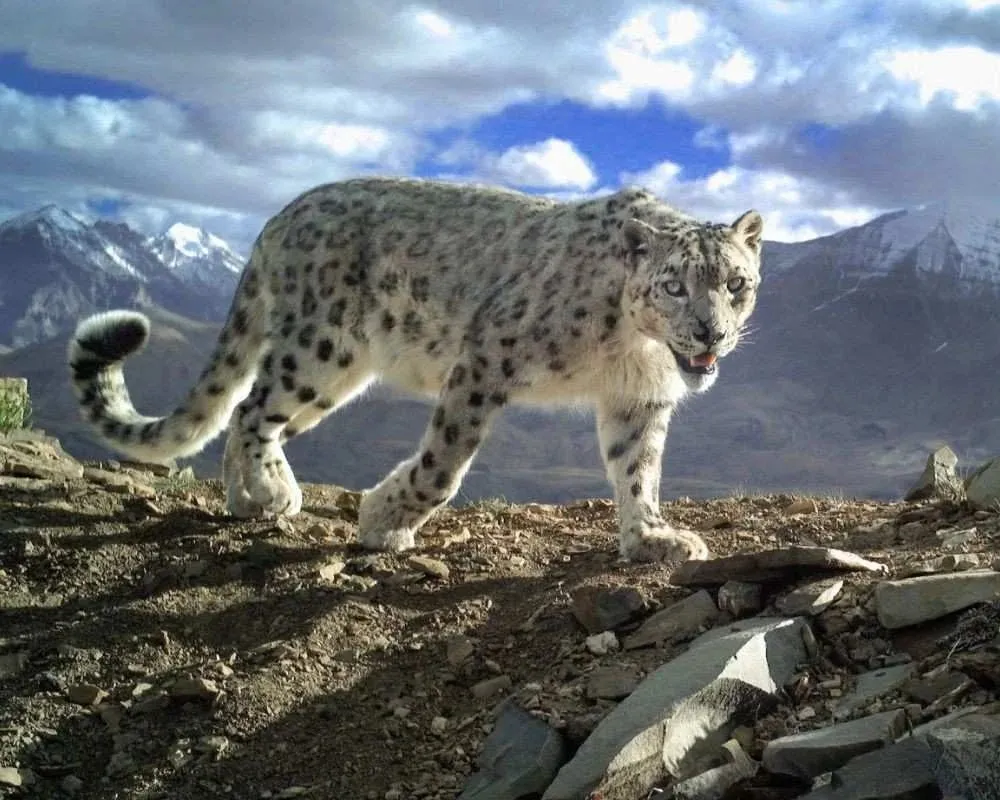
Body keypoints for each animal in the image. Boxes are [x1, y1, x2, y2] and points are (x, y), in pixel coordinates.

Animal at [68, 177, 763, 562]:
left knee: (245, 409)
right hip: (320, 347)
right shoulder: (487, 356)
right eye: (673, 286)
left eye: (736, 283)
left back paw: (247, 500)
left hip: (336, 376)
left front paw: (652, 538)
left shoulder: (636, 400)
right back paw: (273, 493)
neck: (632, 350)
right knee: (252, 407)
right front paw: (383, 521)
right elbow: (443, 465)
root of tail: (278, 218)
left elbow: (638, 469)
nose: (711, 333)